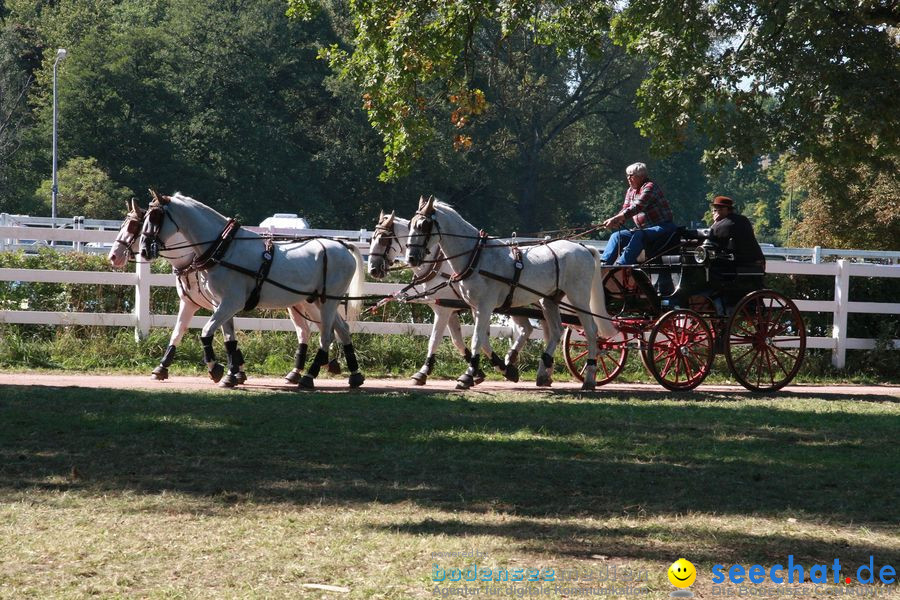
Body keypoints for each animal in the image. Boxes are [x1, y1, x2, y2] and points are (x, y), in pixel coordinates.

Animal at [141, 192, 366, 390]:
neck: (225, 249)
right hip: (319, 301)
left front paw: (216, 370)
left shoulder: (231, 303)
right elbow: (229, 340)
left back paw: (308, 377)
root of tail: (342, 245)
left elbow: (206, 332)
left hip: (328, 302)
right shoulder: (221, 304)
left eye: (155, 216)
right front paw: (231, 375)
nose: (143, 250)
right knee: (342, 329)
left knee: (326, 336)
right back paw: (355, 376)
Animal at [366, 211, 536, 384]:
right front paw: (482, 371)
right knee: (527, 328)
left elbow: (436, 339)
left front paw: (423, 372)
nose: (373, 269)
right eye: (371, 239)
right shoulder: (451, 310)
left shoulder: (445, 309)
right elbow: (458, 341)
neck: (436, 264)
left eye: (382, 239)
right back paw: (512, 360)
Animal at [404, 196, 616, 390]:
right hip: (549, 300)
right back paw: (543, 371)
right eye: (410, 225)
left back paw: (589, 377)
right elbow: (481, 340)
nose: (411, 258)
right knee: (556, 331)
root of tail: (584, 247)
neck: (476, 257)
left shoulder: (483, 306)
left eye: (423, 225)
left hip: (578, 298)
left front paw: (468, 375)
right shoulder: (474, 307)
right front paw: (503, 369)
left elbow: (475, 339)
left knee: (591, 332)